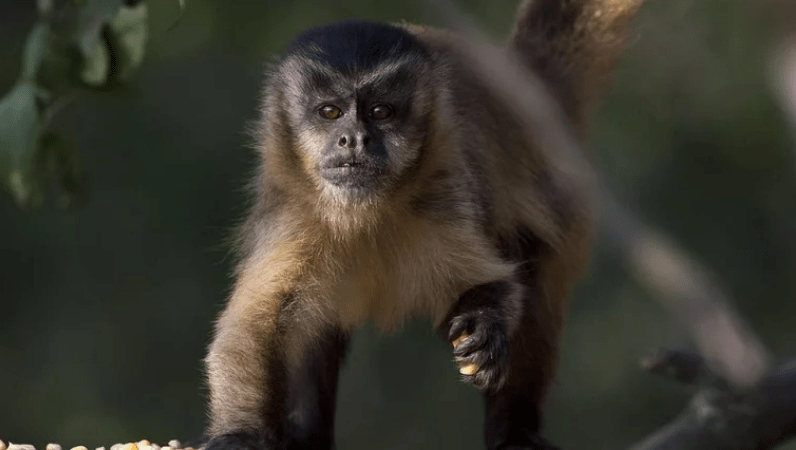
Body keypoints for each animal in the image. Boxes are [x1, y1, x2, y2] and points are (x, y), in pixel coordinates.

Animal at [204, 1, 644, 449]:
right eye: (330, 112)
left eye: (380, 112)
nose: (354, 139)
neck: (366, 214)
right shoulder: (290, 217)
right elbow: (253, 329)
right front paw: (241, 435)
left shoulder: (444, 196)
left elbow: (496, 284)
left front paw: (484, 334)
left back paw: (516, 431)